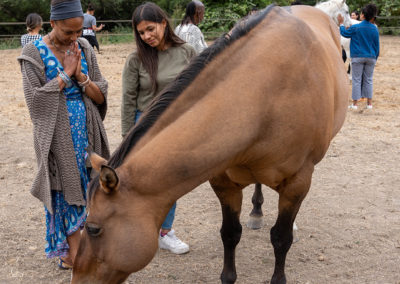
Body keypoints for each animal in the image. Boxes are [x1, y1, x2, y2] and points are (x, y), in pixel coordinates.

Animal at [71, 4, 346, 284]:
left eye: (92, 229)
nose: (77, 278)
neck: (263, 98)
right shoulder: (223, 183)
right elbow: (230, 233)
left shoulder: (296, 183)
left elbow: (281, 238)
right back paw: (256, 212)